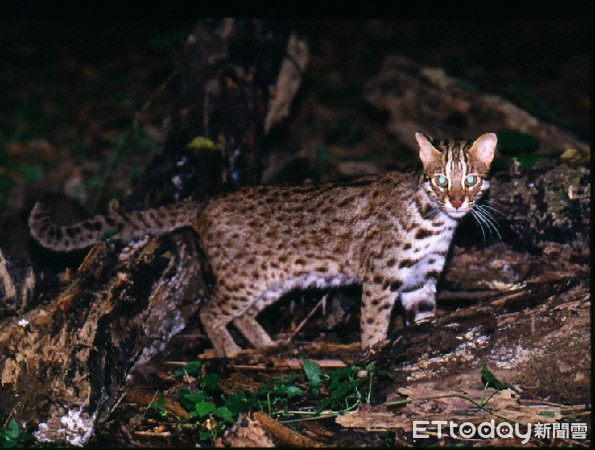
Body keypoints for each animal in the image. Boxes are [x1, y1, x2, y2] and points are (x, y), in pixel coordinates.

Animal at [30, 132, 500, 356]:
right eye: (439, 181)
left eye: (470, 180)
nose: (457, 201)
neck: (435, 222)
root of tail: (208, 200)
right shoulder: (383, 275)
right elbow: (373, 318)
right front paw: (372, 352)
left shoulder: (423, 275)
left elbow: (423, 315)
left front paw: (424, 341)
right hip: (243, 279)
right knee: (209, 310)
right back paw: (229, 351)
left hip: (273, 279)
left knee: (242, 314)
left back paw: (265, 344)